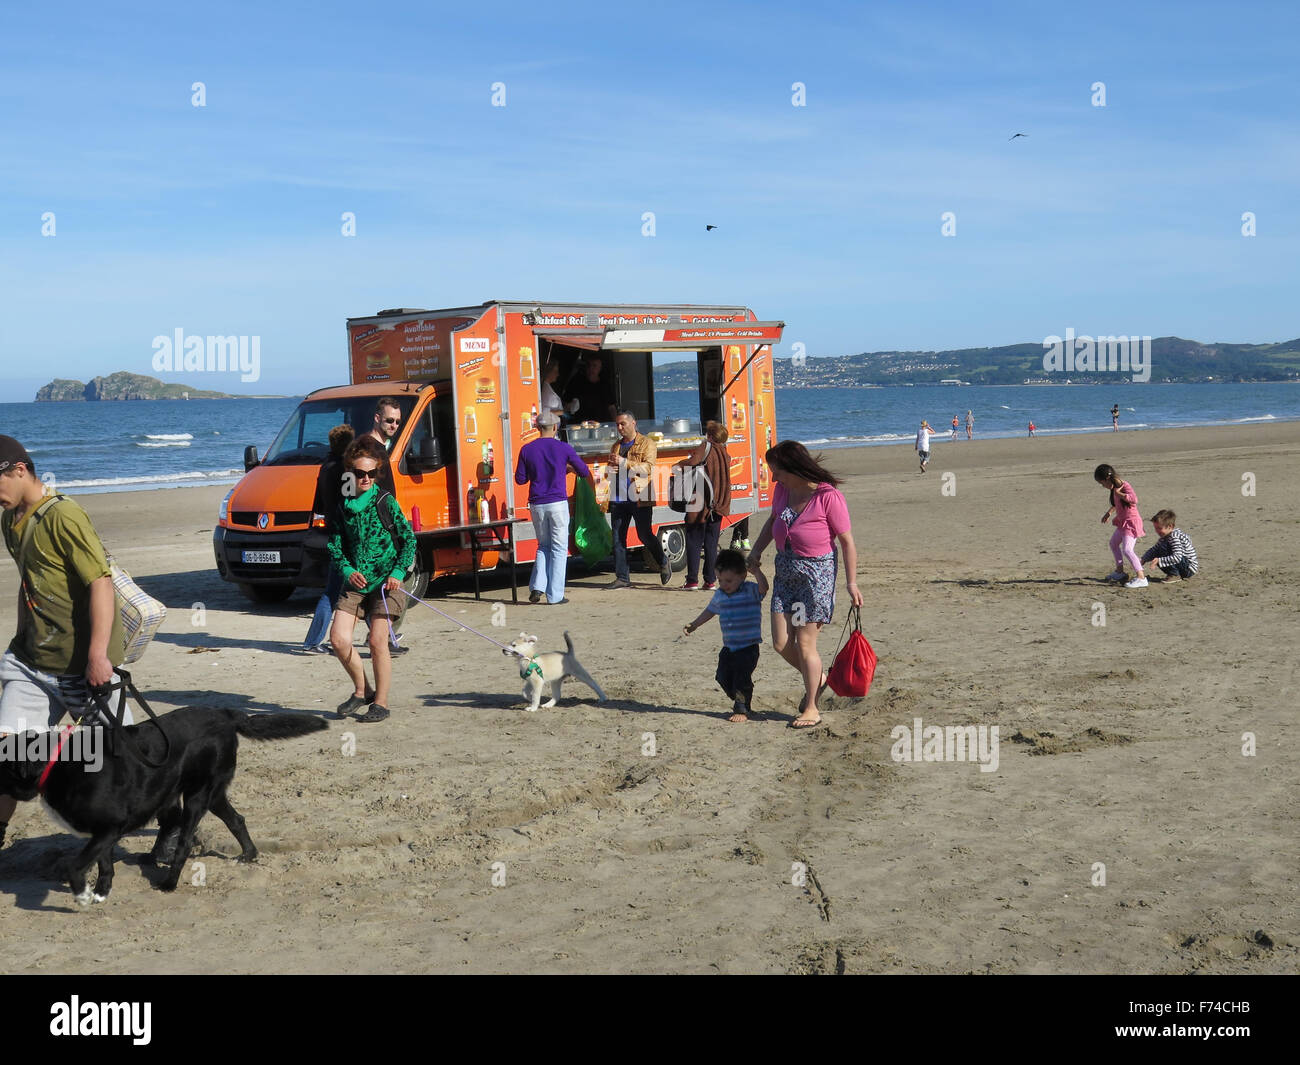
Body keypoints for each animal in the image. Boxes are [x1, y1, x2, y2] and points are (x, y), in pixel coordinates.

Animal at [0, 707, 330, 910]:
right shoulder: (103, 831)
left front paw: (82, 895)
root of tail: (223, 713)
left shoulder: (108, 828)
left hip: (197, 797)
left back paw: (169, 883)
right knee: (236, 819)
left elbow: (75, 866)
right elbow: (105, 865)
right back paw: (248, 855)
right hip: (211, 794)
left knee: (184, 842)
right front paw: (101, 893)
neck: (57, 762)